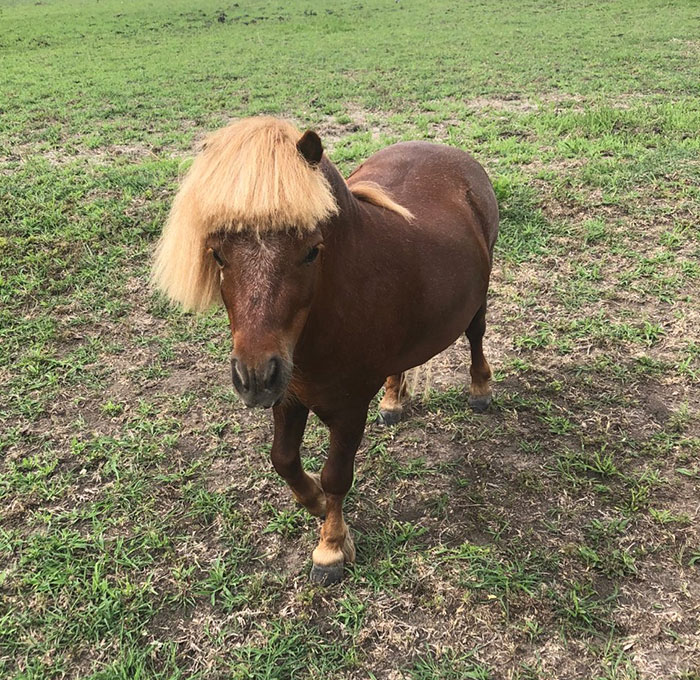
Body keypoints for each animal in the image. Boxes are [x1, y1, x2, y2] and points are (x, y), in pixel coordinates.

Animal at [152, 117, 499, 585]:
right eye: (218, 254)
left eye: (311, 251)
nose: (254, 377)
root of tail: (452, 154)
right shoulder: (289, 395)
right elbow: (283, 459)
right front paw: (313, 501)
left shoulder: (349, 409)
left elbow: (337, 476)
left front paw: (331, 546)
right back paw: (393, 399)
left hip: (478, 298)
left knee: (476, 335)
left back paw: (480, 390)